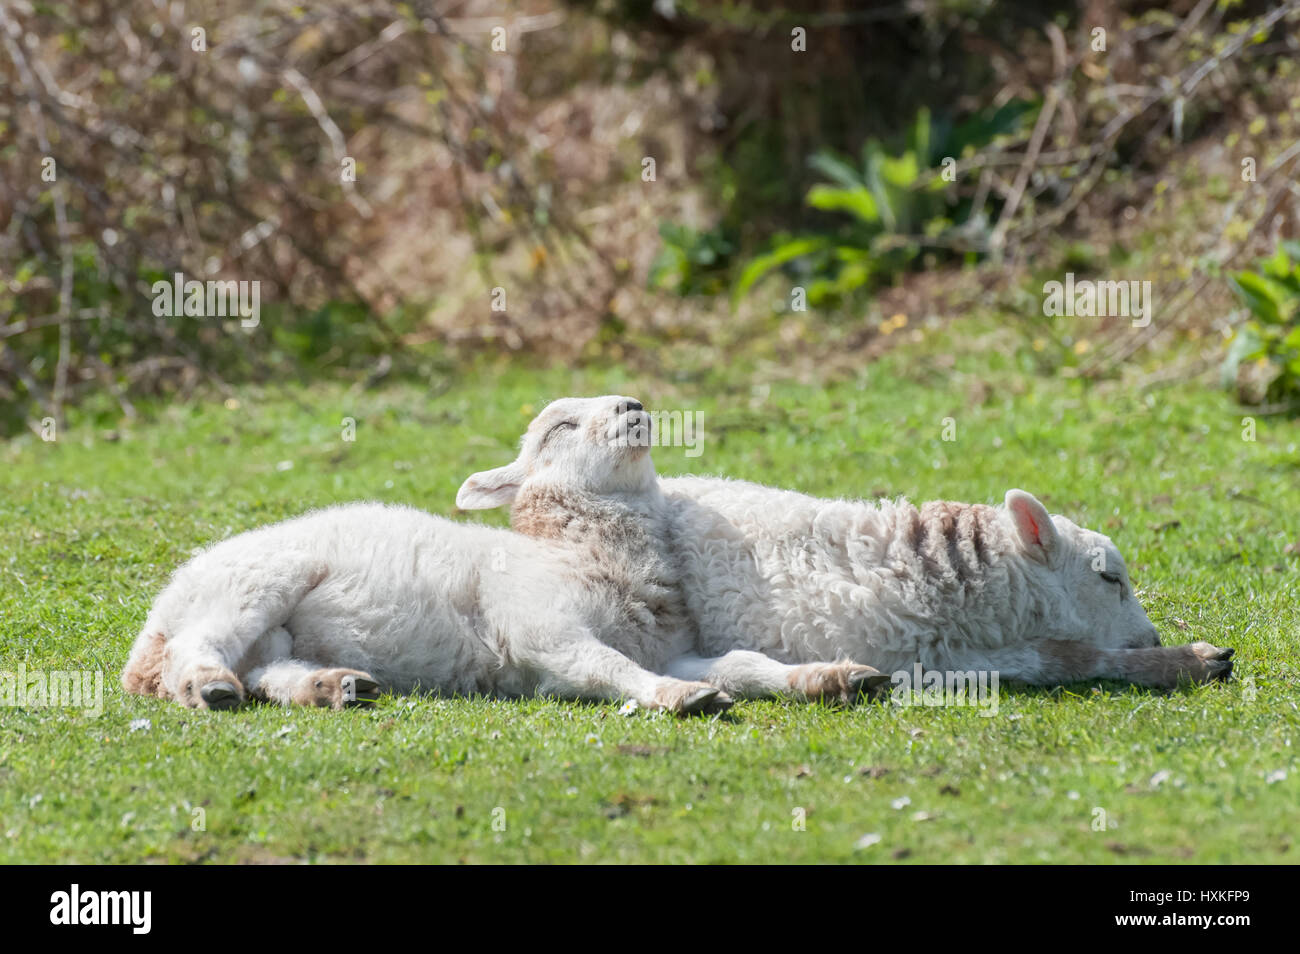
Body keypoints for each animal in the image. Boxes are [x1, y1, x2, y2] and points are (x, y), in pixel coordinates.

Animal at [655, 475, 1235, 691]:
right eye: (1110, 578)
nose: (1150, 638)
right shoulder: (917, 654)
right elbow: (1062, 656)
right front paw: (1188, 661)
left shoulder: (940, 651)